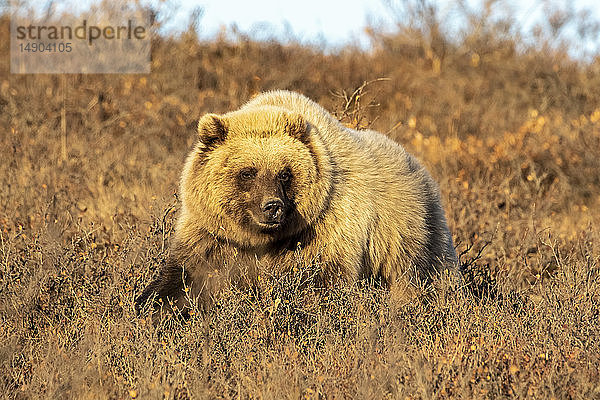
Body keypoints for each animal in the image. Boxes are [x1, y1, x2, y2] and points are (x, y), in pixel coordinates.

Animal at [135, 90, 454, 316]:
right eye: (248, 172)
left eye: (285, 173)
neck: (261, 239)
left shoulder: (324, 231)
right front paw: (150, 309)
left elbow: (321, 285)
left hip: (410, 236)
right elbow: (184, 279)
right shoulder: (214, 236)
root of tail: (418, 166)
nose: (272, 206)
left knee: (423, 278)